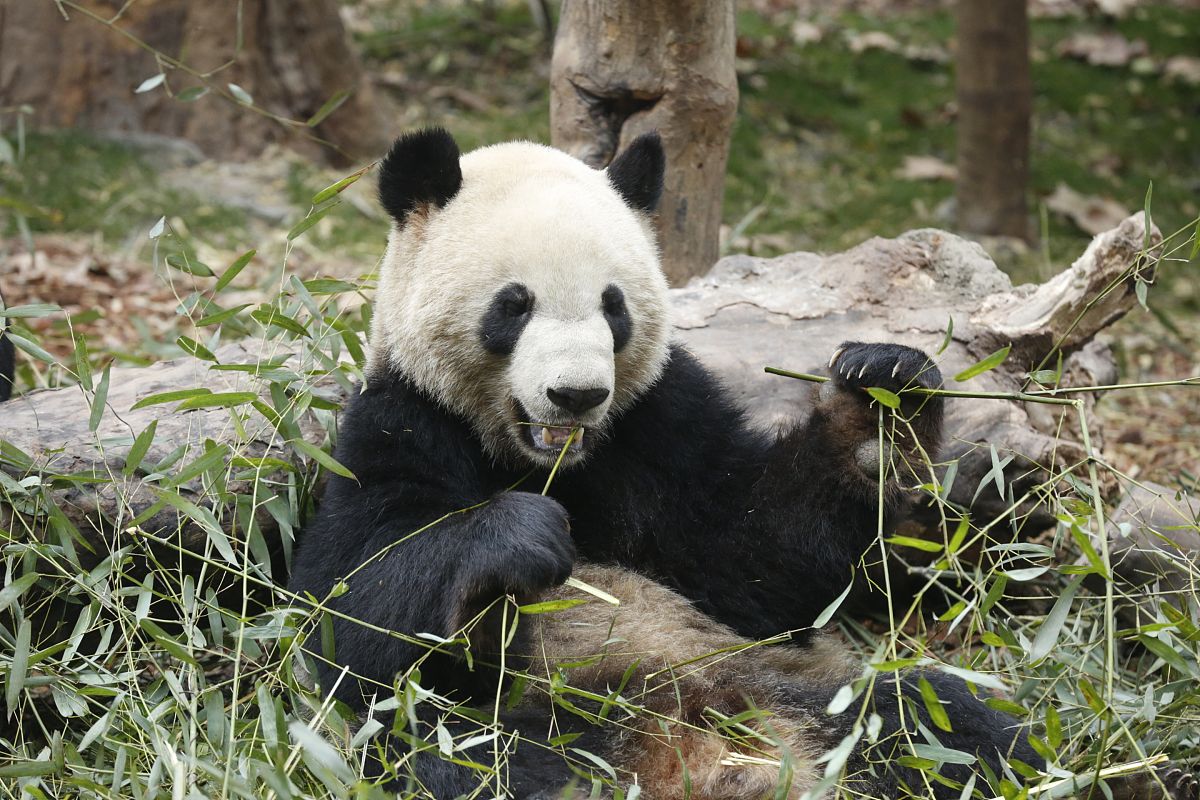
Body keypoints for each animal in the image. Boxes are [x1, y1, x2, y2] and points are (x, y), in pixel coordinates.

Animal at [285, 128, 1046, 796]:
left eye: (613, 306)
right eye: (513, 305)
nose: (577, 395)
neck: (546, 460)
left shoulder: (660, 423)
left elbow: (755, 555)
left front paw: (879, 404)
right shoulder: (402, 420)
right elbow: (355, 610)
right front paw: (517, 539)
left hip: (806, 696)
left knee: (940, 725)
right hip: (546, 723)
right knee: (474, 765)